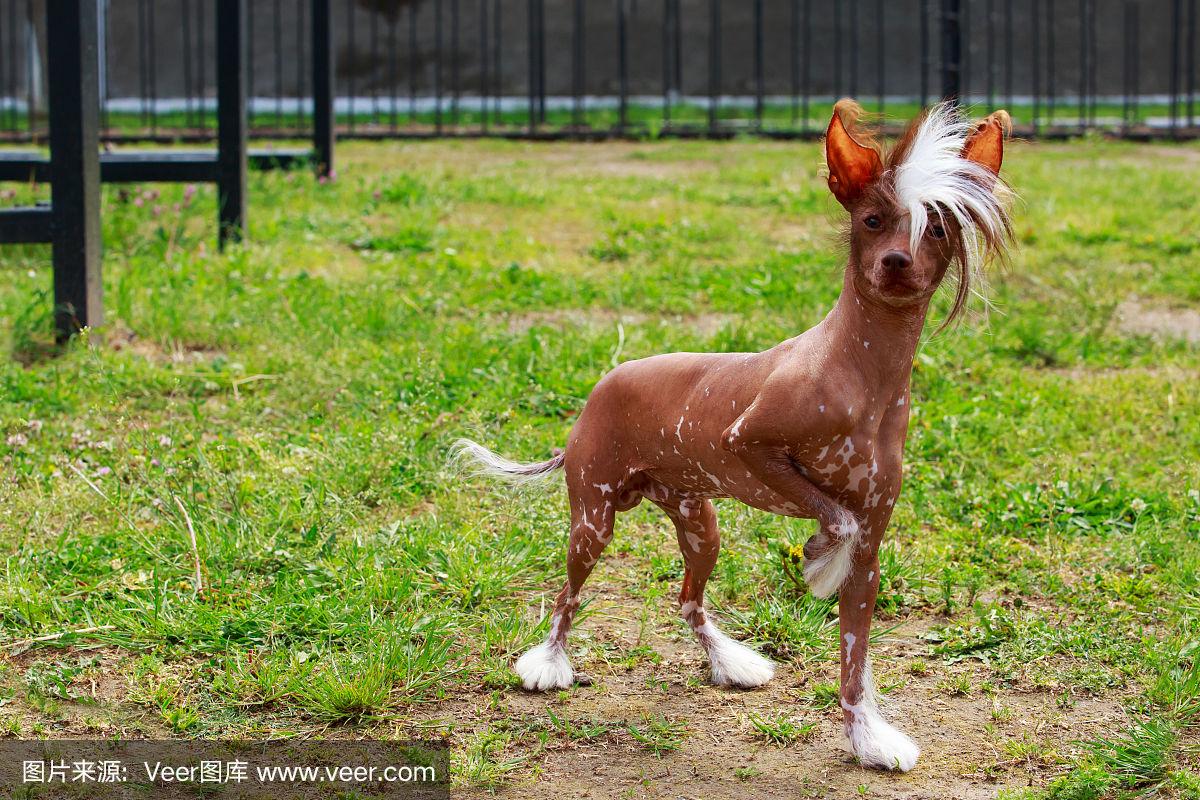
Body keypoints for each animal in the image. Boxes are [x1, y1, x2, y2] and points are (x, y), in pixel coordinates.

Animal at [456, 100, 1012, 767]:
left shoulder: (872, 549)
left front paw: (866, 735)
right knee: (568, 597)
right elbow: (836, 520)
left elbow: (854, 658)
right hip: (593, 519)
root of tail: (600, 388)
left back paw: (729, 661)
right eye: (873, 220)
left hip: (700, 523)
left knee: (688, 600)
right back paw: (548, 663)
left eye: (936, 230)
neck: (864, 374)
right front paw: (818, 560)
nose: (896, 262)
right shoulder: (747, 445)